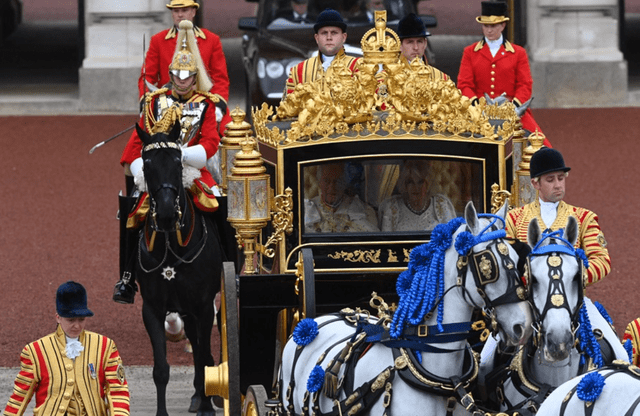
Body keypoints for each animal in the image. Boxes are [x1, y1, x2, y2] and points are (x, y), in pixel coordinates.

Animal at [135, 122, 222, 416]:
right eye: (147, 164)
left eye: (178, 162)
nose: (165, 214)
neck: (171, 247)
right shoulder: (152, 309)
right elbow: (161, 369)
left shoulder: (204, 306)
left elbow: (204, 356)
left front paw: (207, 406)